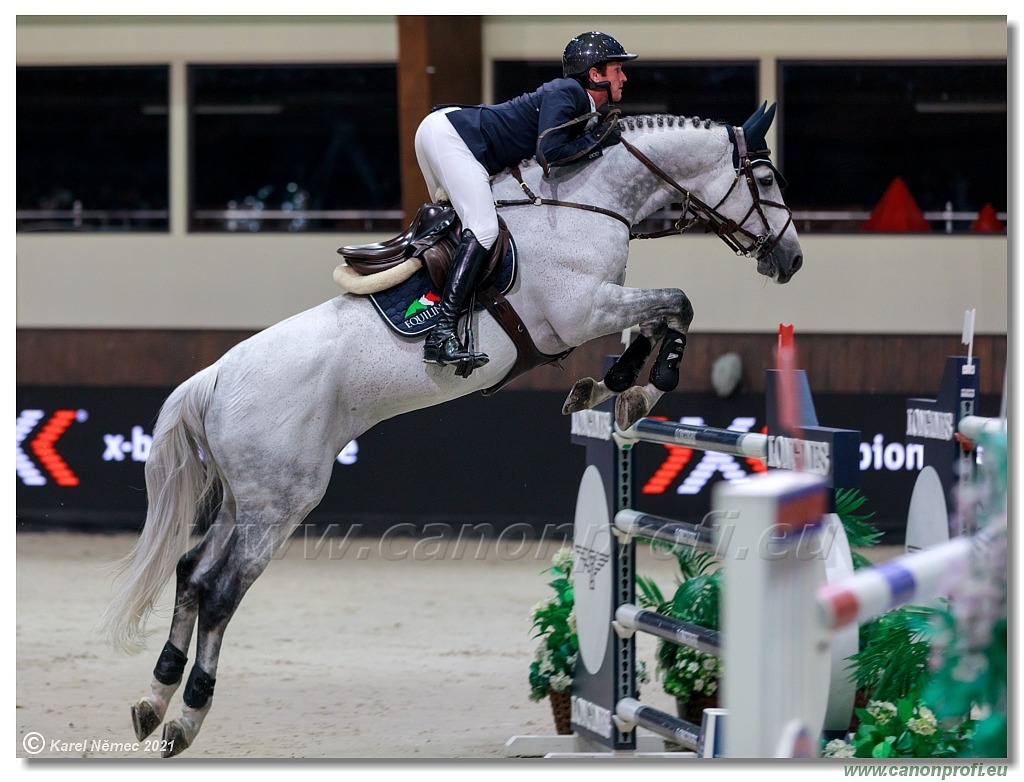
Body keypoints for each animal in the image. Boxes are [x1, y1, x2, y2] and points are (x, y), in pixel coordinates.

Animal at [99, 100, 798, 753]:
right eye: (766, 178)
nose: (790, 258)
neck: (588, 199)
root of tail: (217, 376)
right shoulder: (583, 311)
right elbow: (677, 303)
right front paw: (642, 386)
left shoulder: (602, 308)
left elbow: (659, 318)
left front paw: (613, 388)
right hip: (280, 502)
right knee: (220, 592)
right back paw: (187, 715)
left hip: (244, 498)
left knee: (191, 573)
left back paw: (153, 700)